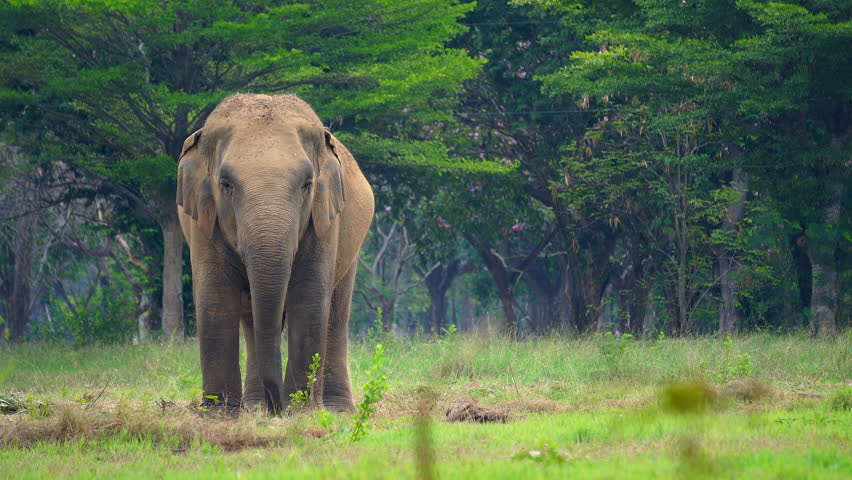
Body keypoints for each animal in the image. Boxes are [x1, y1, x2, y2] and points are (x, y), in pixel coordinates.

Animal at [177, 93, 374, 414]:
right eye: (226, 184)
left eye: (307, 184)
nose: (277, 407)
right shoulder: (203, 221)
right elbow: (215, 299)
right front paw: (219, 414)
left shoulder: (323, 219)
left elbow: (309, 299)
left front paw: (300, 411)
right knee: (252, 319)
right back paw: (255, 406)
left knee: (335, 313)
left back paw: (334, 409)